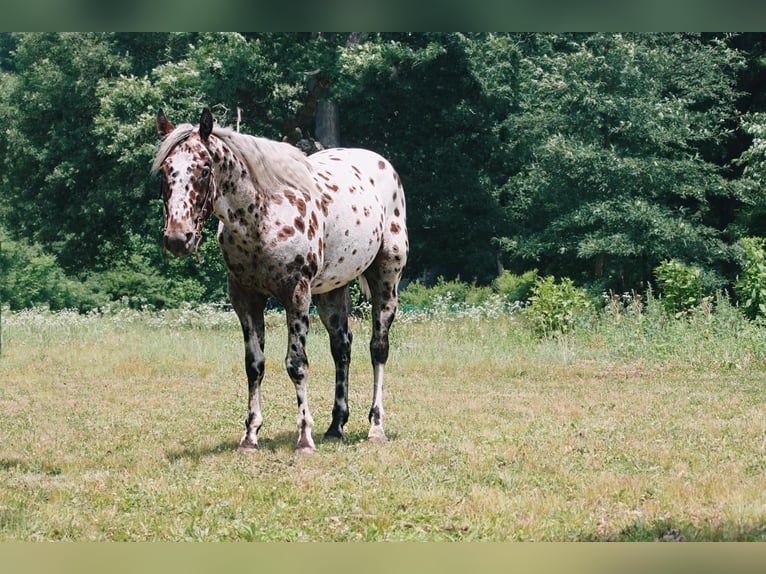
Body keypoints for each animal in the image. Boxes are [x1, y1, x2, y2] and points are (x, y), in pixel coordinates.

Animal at [152, 109, 412, 454]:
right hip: (331, 291)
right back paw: (335, 426)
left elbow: (296, 364)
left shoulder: (296, 294)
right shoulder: (245, 298)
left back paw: (376, 426)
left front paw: (304, 437)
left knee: (378, 348)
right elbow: (254, 365)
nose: (177, 238)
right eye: (165, 171)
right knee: (341, 347)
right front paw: (250, 436)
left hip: (386, 278)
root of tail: (382, 165)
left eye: (205, 169)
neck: (261, 215)